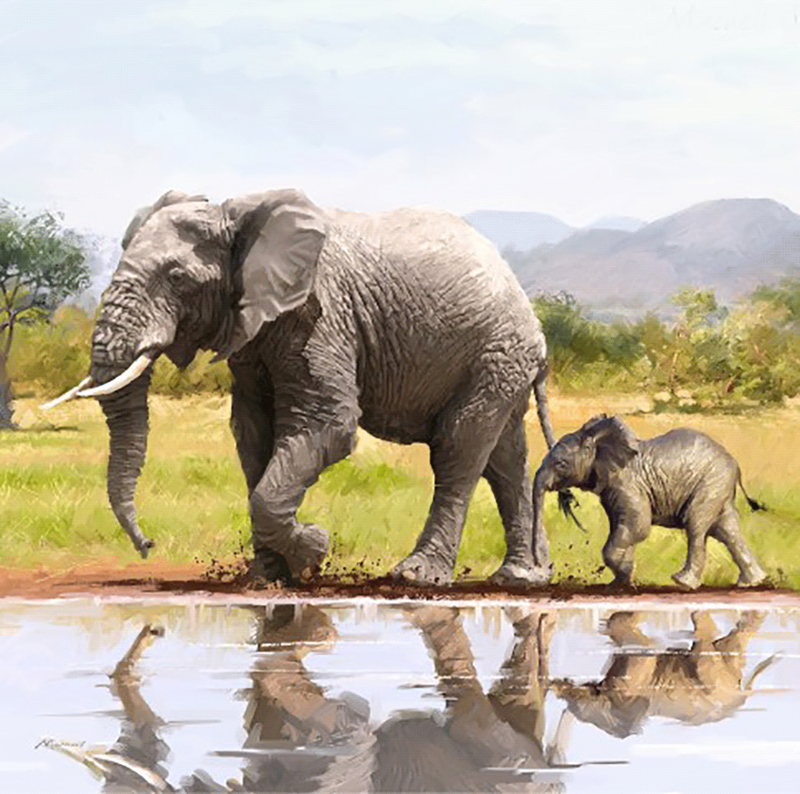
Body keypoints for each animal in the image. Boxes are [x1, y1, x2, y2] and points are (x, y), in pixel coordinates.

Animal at [47, 188, 565, 587]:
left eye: (176, 277)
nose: (148, 545)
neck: (237, 214)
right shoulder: (253, 331)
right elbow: (253, 432)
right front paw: (268, 575)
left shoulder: (322, 313)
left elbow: (327, 424)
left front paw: (314, 549)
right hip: (501, 363)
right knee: (504, 458)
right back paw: (522, 577)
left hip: (496, 352)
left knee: (460, 448)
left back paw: (417, 576)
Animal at [532, 414, 768, 589]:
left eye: (561, 464)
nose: (543, 567)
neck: (598, 440)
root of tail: (735, 464)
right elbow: (622, 526)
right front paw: (620, 583)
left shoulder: (627, 483)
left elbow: (637, 526)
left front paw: (625, 574)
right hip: (718, 488)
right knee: (727, 530)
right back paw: (752, 582)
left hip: (711, 483)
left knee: (696, 525)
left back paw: (682, 582)